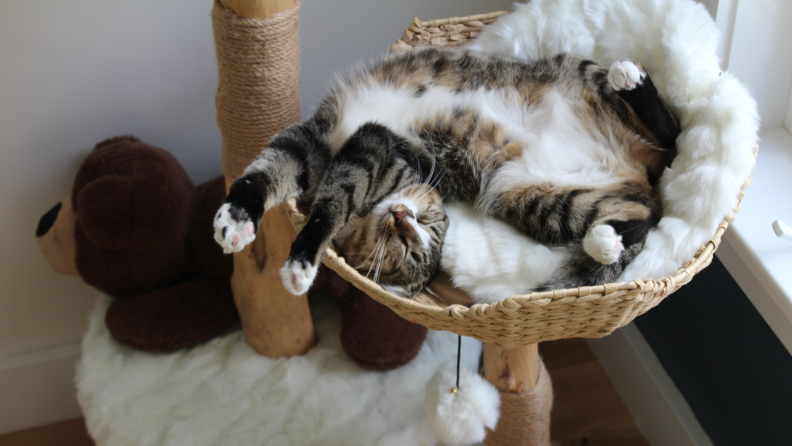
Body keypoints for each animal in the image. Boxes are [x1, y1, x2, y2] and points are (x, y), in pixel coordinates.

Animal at [212, 47, 680, 298]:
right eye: (412, 242)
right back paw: (606, 239)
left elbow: (335, 198)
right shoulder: (315, 141)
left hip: (580, 78)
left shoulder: (376, 146)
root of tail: (633, 163)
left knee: (673, 137)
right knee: (642, 212)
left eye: (429, 223)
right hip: (538, 196)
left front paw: (302, 261)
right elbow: (267, 169)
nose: (404, 217)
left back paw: (632, 80)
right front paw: (235, 218)